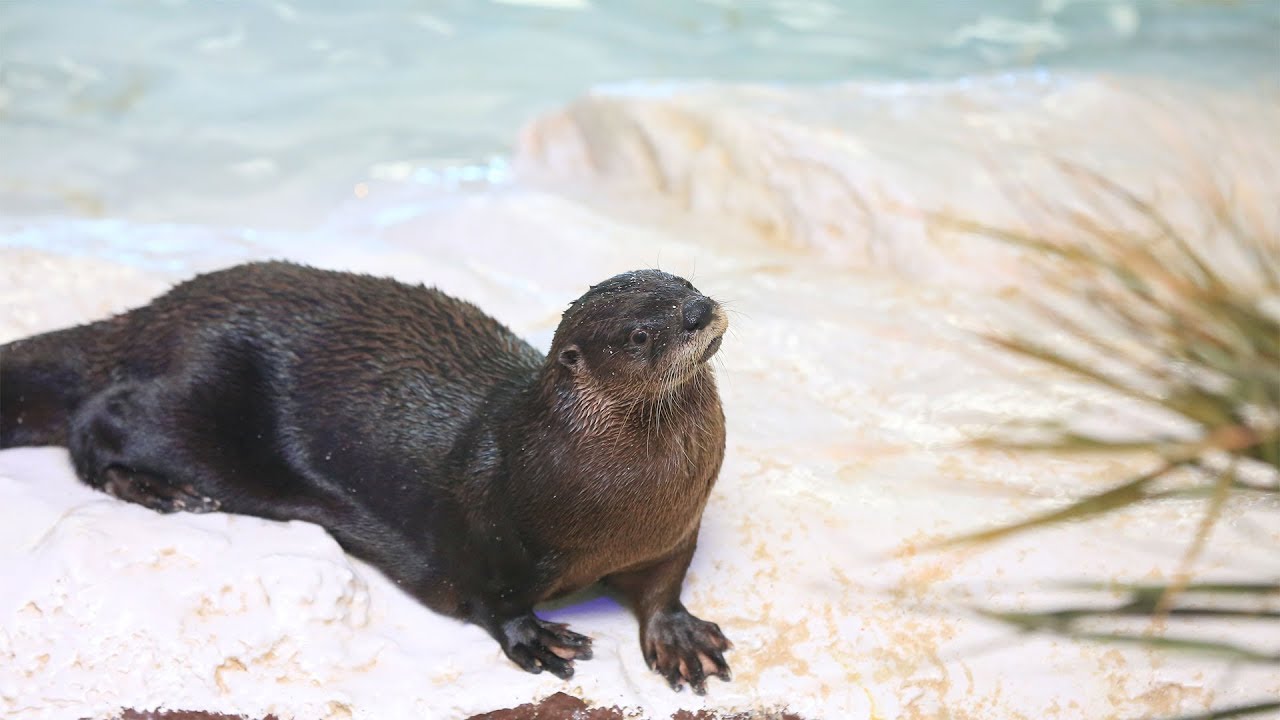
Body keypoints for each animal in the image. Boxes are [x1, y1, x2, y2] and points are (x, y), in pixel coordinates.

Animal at [0, 262, 732, 693]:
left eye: (686, 283)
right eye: (639, 336)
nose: (700, 311)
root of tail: (155, 313)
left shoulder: (676, 532)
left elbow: (664, 587)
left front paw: (681, 638)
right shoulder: (486, 529)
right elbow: (491, 597)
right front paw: (536, 637)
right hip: (191, 399)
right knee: (96, 418)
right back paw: (156, 489)